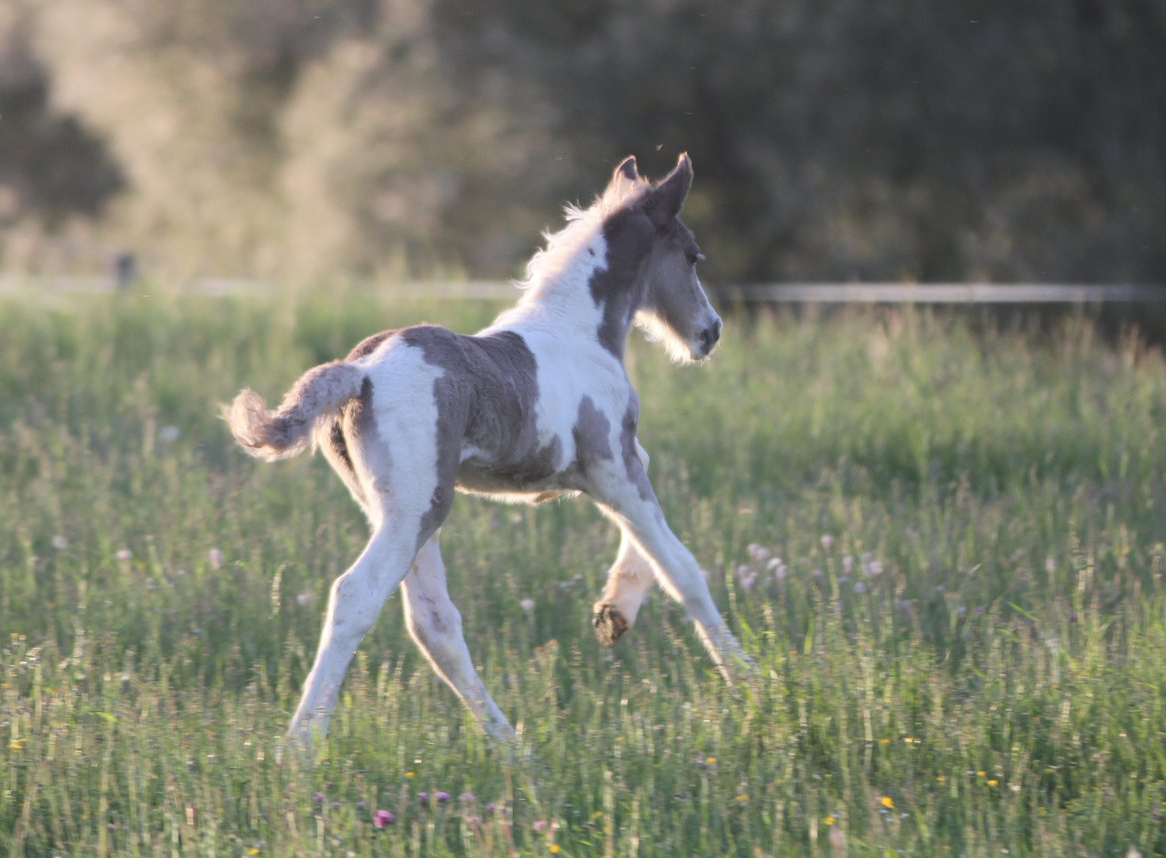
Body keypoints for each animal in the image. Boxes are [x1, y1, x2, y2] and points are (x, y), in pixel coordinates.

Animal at [225, 152, 755, 746]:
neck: (579, 333)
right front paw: (754, 686)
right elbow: (682, 568)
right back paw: (299, 747)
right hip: (416, 510)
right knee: (357, 597)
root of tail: (359, 372)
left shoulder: (610, 466)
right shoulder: (610, 467)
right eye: (691, 255)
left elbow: (652, 521)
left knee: (433, 622)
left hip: (398, 510)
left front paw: (613, 611)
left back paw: (514, 749)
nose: (710, 332)